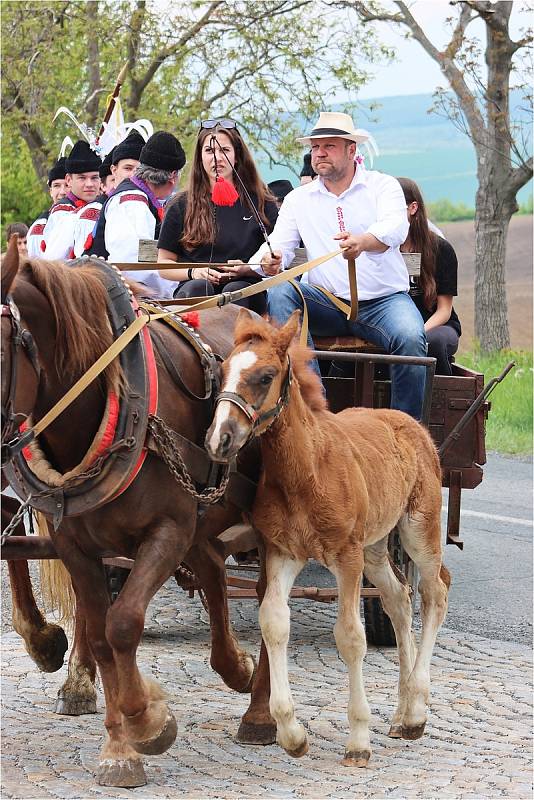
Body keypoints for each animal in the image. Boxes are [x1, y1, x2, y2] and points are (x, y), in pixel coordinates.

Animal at [0, 241, 274, 784]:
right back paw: (234, 666)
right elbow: (102, 635)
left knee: (270, 600)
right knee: (212, 569)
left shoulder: (166, 531)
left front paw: (148, 722)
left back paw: (259, 714)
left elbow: (123, 623)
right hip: (202, 519)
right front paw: (120, 747)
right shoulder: (75, 545)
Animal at [205, 308, 452, 768]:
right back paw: (400, 713)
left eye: (265, 376)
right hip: (375, 546)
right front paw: (290, 734)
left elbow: (350, 637)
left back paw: (416, 711)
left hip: (416, 529)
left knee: (435, 591)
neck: (308, 468)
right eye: (223, 370)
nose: (219, 439)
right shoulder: (284, 552)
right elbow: (273, 621)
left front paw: (357, 741)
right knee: (398, 598)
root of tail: (411, 423)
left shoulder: (346, 556)